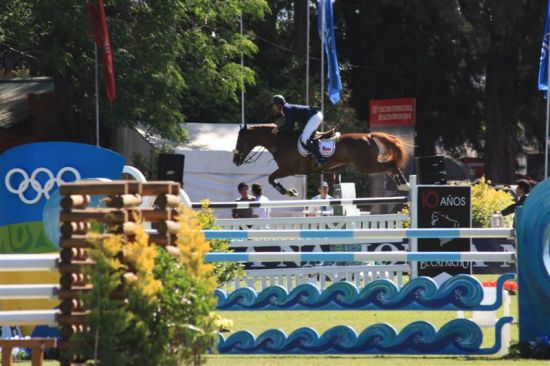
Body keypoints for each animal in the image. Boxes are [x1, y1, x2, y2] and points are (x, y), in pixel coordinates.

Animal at [233, 123, 410, 196]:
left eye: (240, 141)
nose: (235, 160)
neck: (280, 141)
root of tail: (369, 136)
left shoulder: (288, 169)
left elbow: (270, 178)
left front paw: (288, 192)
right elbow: (271, 178)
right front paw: (289, 191)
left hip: (366, 165)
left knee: (391, 165)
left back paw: (404, 185)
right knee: (389, 166)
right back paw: (402, 183)